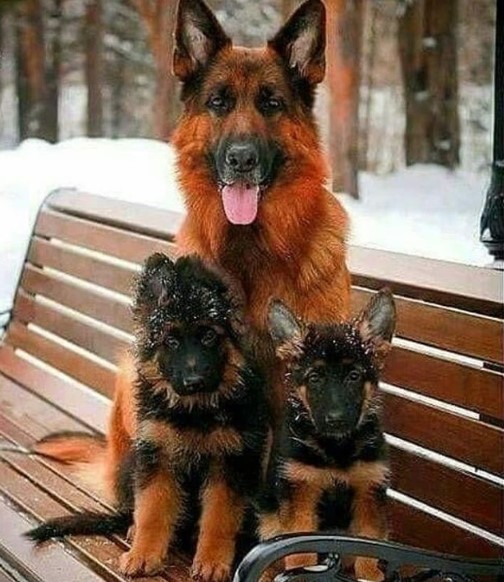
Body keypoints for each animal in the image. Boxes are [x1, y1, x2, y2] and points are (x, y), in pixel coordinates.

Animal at [27, 256, 272, 582]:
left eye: (209, 336)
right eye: (171, 341)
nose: (194, 381)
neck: (193, 412)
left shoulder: (229, 464)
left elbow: (219, 518)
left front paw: (212, 561)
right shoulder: (158, 456)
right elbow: (152, 511)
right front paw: (144, 555)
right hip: (133, 460)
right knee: (135, 509)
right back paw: (132, 529)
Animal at [258, 290, 396, 580]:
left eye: (354, 376)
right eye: (315, 378)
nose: (336, 419)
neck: (336, 450)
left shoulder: (369, 492)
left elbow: (367, 553)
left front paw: (370, 574)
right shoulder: (301, 493)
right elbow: (300, 555)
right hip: (269, 521)